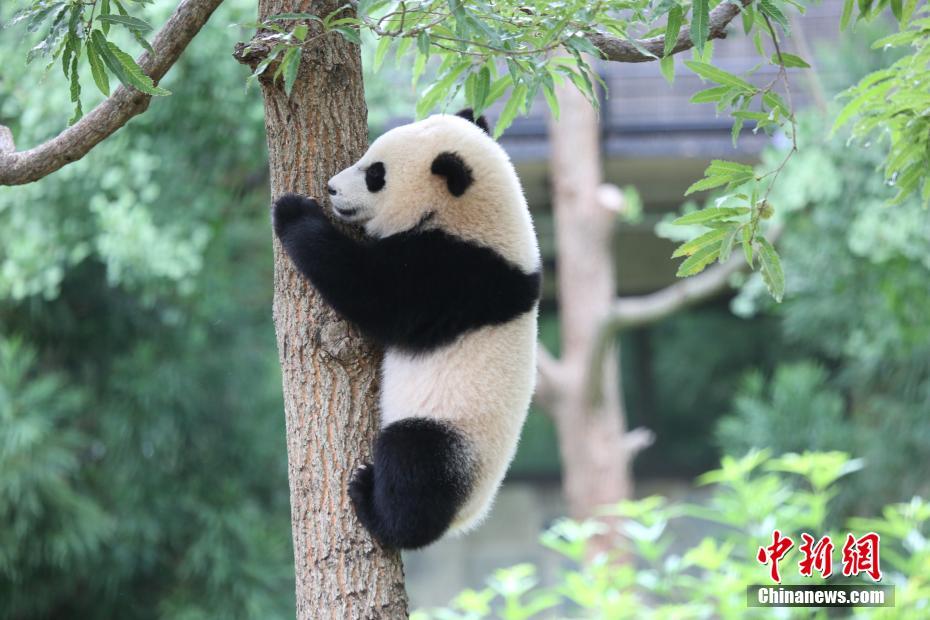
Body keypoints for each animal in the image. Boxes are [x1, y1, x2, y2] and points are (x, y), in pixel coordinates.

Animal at [272, 110, 540, 548]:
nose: (331, 188)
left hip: (453, 435)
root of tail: (469, 515)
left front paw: (292, 212)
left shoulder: (453, 274)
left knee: (413, 465)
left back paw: (375, 505)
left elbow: (370, 291)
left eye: (375, 174)